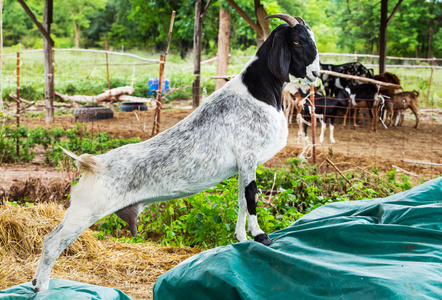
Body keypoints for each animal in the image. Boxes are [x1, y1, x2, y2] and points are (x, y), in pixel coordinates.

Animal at [32, 14, 322, 292]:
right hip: (86, 211)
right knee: (51, 243)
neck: (256, 91)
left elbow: (241, 198)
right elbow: (251, 197)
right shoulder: (249, 156)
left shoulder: (243, 166)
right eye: (297, 41)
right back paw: (41, 287)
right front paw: (261, 236)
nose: (317, 72)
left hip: (78, 210)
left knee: (50, 236)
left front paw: (241, 238)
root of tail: (92, 164)